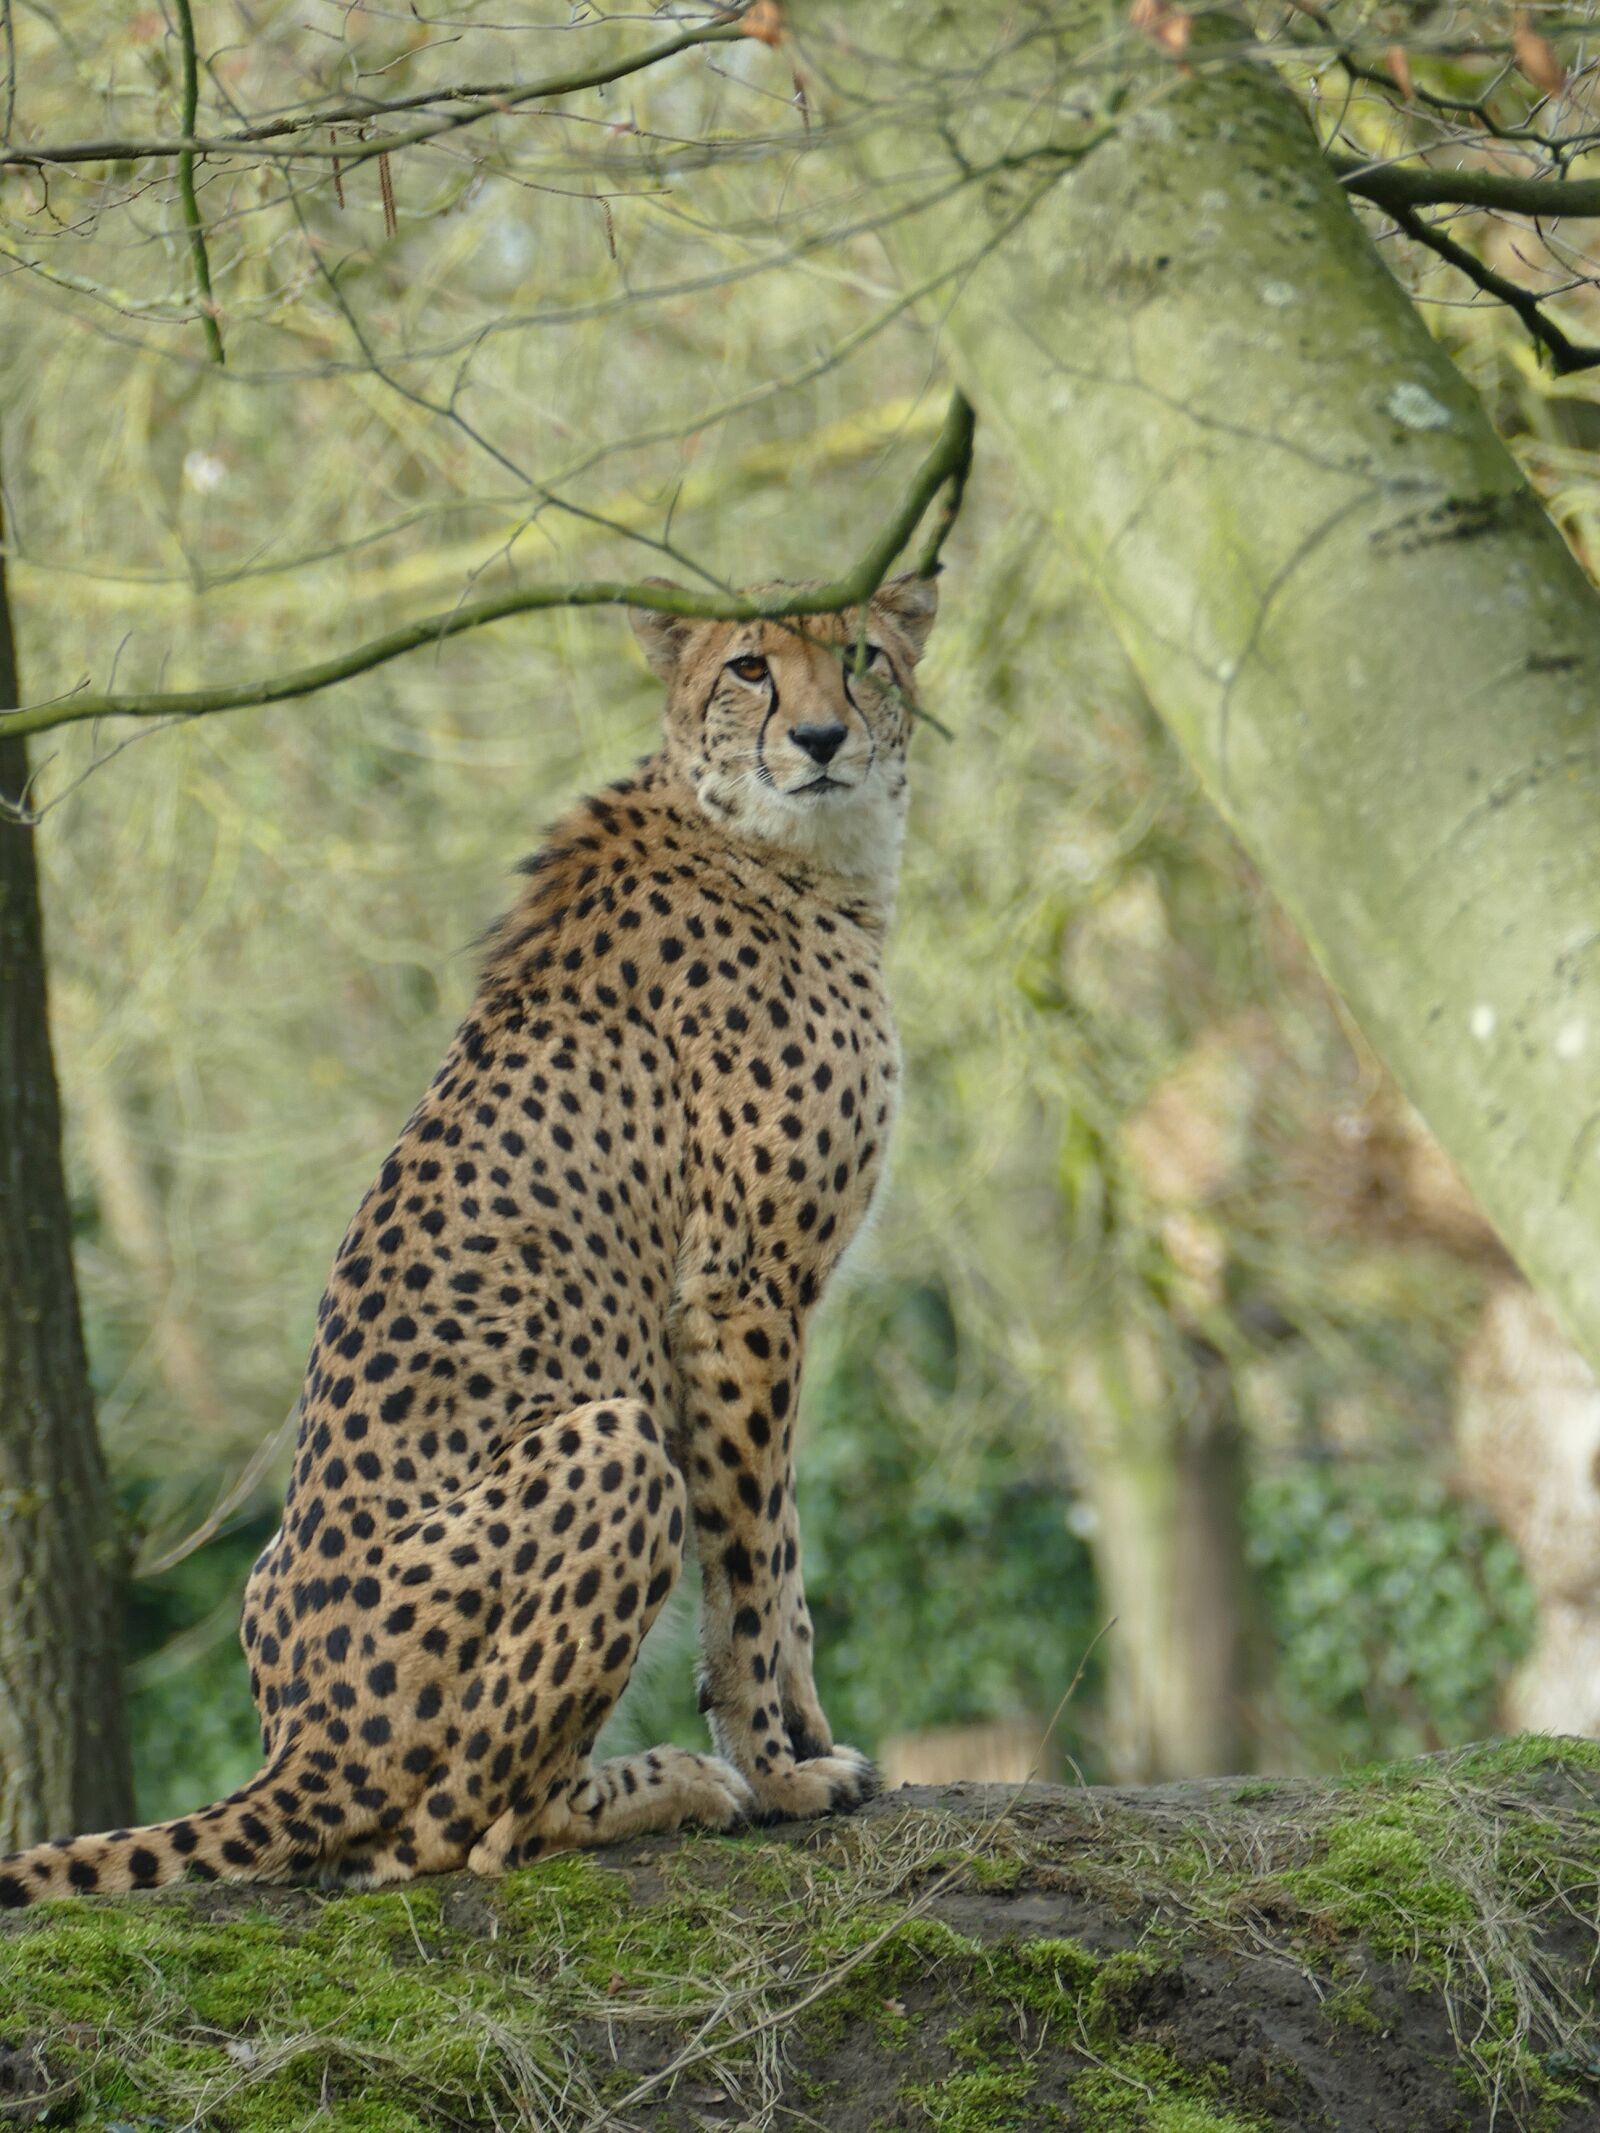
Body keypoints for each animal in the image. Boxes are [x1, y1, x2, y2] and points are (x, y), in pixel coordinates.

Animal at [0, 569, 938, 1905]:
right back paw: (669, 1784)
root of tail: (300, 1742)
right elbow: (756, 1567)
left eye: (860, 655)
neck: (788, 846)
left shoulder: (758, 1301)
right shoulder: (739, 1290)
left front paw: (809, 1738)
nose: (816, 740)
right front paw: (780, 1768)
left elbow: (786, 1557)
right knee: (448, 1838)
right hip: (611, 1441)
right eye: (750, 668)